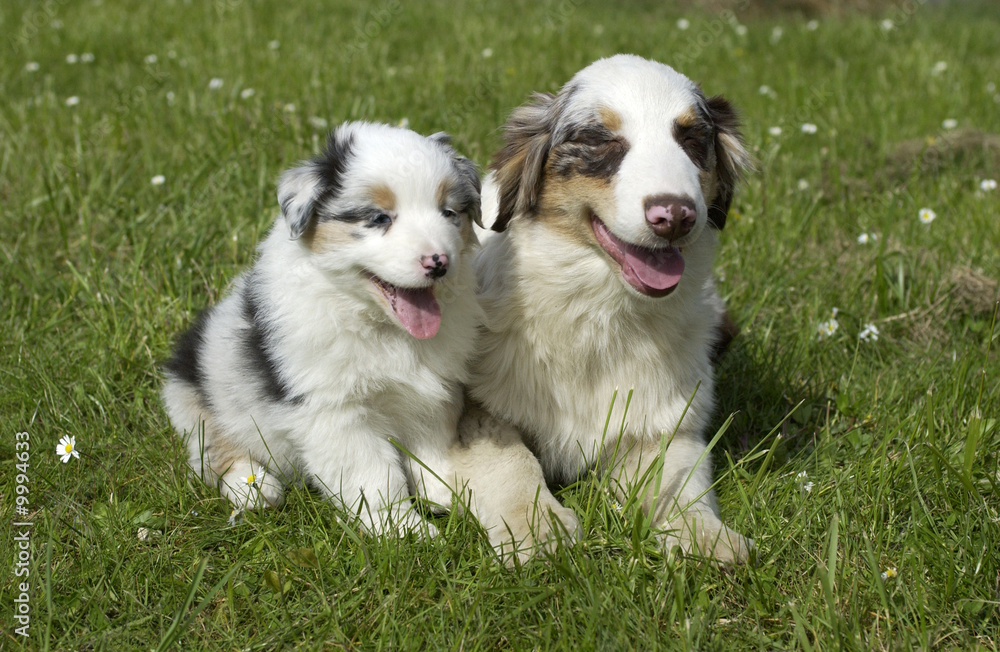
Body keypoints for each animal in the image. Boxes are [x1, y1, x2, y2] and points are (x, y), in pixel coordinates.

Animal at [466, 56, 752, 560]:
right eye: (602, 141)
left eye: (691, 140)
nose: (675, 216)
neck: (600, 313)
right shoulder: (473, 410)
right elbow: (511, 459)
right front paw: (538, 529)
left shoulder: (664, 423)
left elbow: (679, 482)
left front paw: (705, 536)